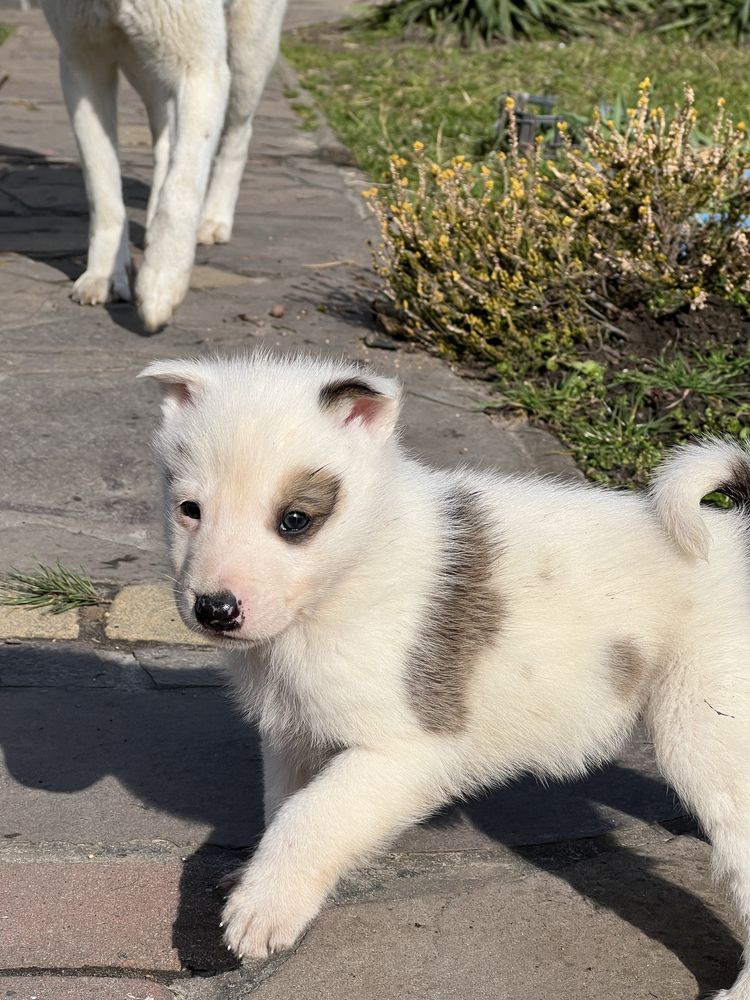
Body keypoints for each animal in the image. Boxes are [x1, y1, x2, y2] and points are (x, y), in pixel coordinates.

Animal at [39, 0, 290, 330]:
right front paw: (105, 275)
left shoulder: (200, 71)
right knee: (166, 135)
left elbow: (180, 190)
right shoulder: (82, 63)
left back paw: (213, 219)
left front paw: (162, 282)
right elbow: (103, 191)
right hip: (145, 63)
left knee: (237, 133)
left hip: (248, 53)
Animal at [141, 354, 750, 1000]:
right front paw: (253, 880)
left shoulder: (409, 749)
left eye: (295, 520)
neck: (357, 566)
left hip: (705, 727)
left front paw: (264, 908)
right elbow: (283, 803)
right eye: (190, 510)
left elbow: (313, 816)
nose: (214, 609)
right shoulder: (294, 733)